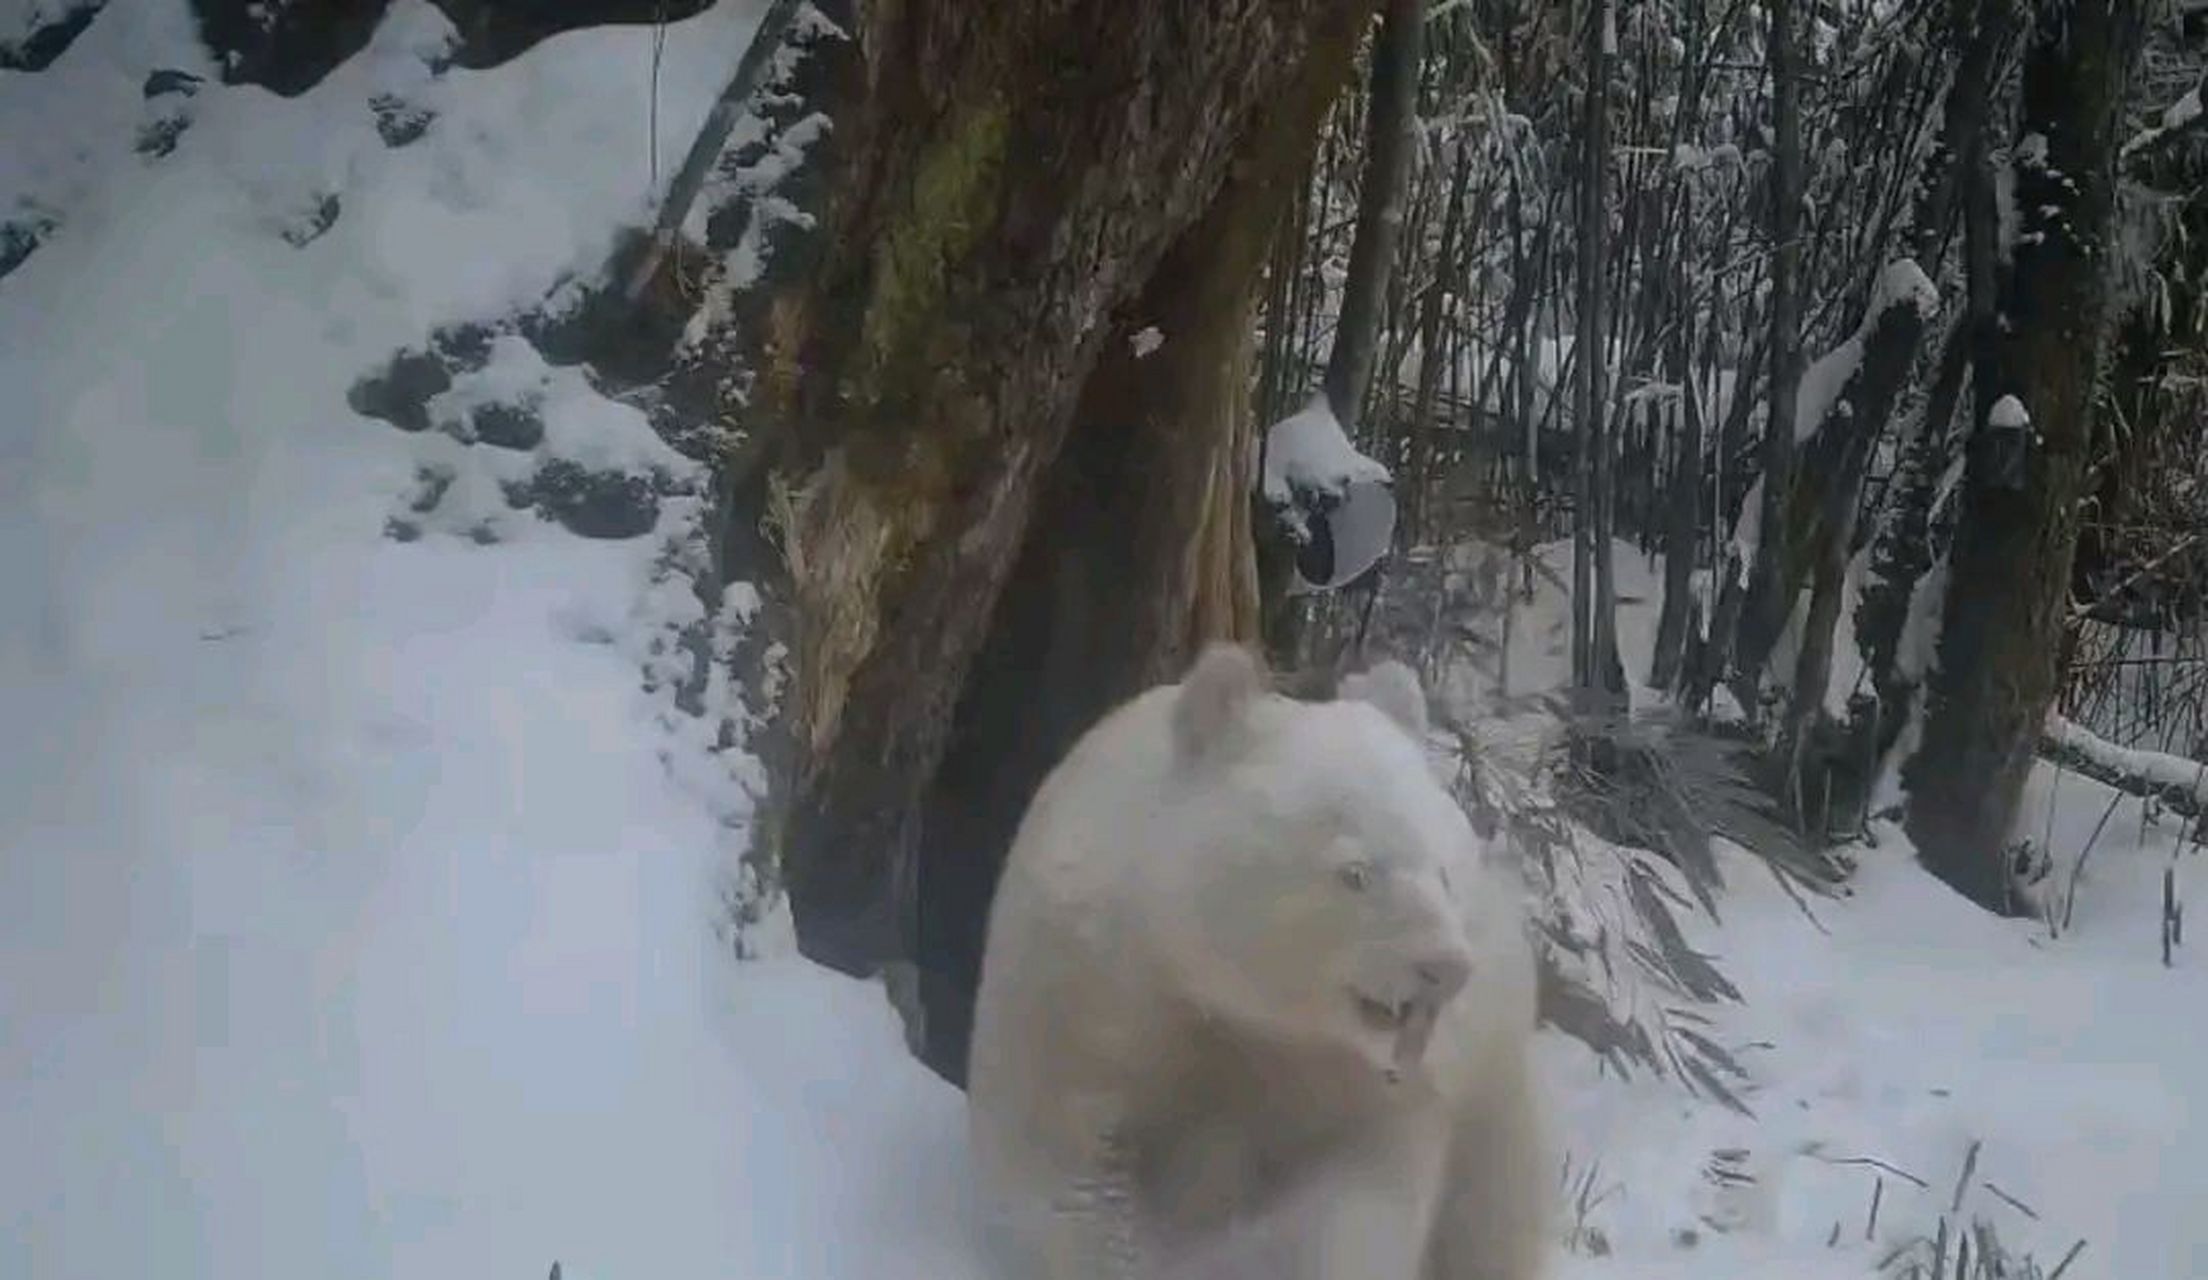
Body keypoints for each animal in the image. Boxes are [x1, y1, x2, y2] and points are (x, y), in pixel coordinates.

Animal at [966, 642, 1550, 1280]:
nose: (1444, 968)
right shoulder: (1089, 984)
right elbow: (1066, 1155)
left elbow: (1358, 1205)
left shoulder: (1371, 1086)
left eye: (1444, 873)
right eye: (1355, 873)